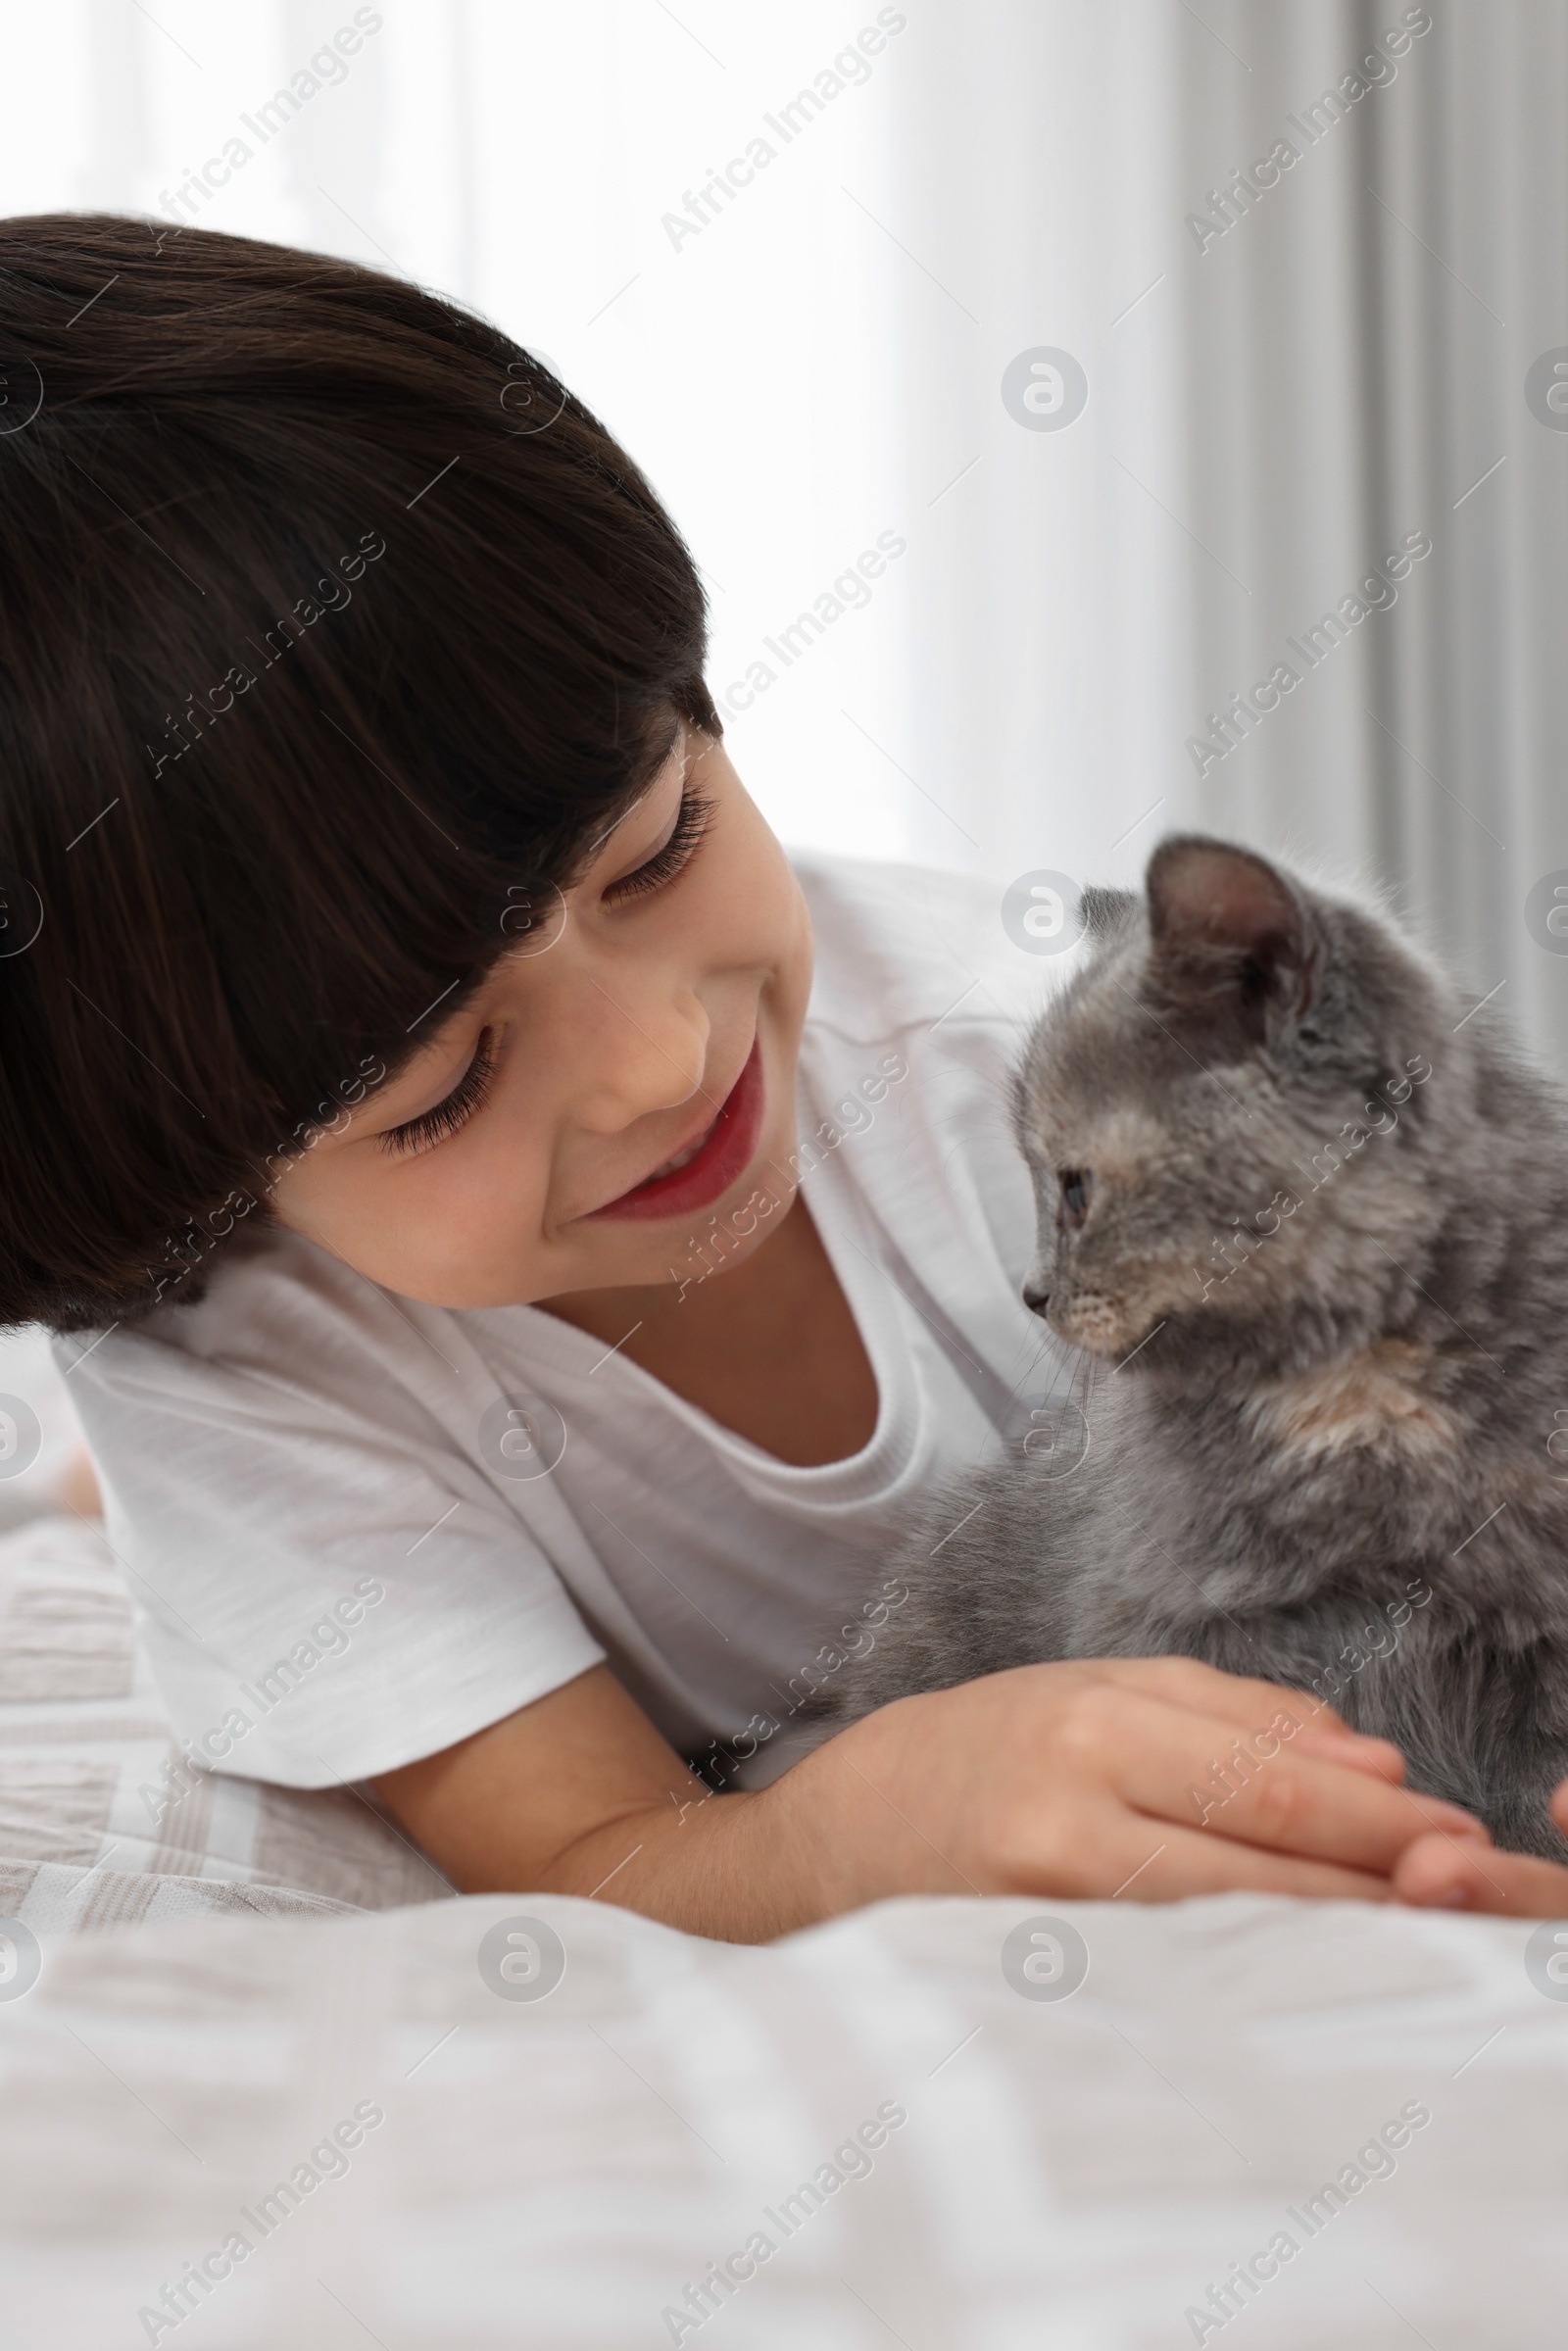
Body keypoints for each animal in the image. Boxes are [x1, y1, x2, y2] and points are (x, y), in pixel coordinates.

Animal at [841, 841, 1568, 1852]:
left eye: (1075, 1189)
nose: (1032, 1291)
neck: (1356, 1393)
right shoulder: (1211, 1622)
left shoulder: (1538, 1627)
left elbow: (1535, 1800)